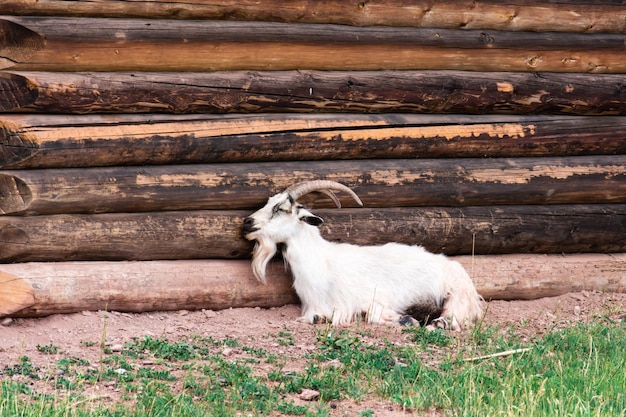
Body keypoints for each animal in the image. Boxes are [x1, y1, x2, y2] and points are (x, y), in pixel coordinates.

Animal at [240, 180, 482, 330]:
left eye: (281, 209)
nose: (247, 222)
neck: (320, 262)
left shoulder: (373, 297)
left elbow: (373, 314)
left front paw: (405, 319)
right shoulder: (315, 309)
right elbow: (317, 317)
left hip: (455, 293)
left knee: (455, 316)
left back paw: (436, 322)